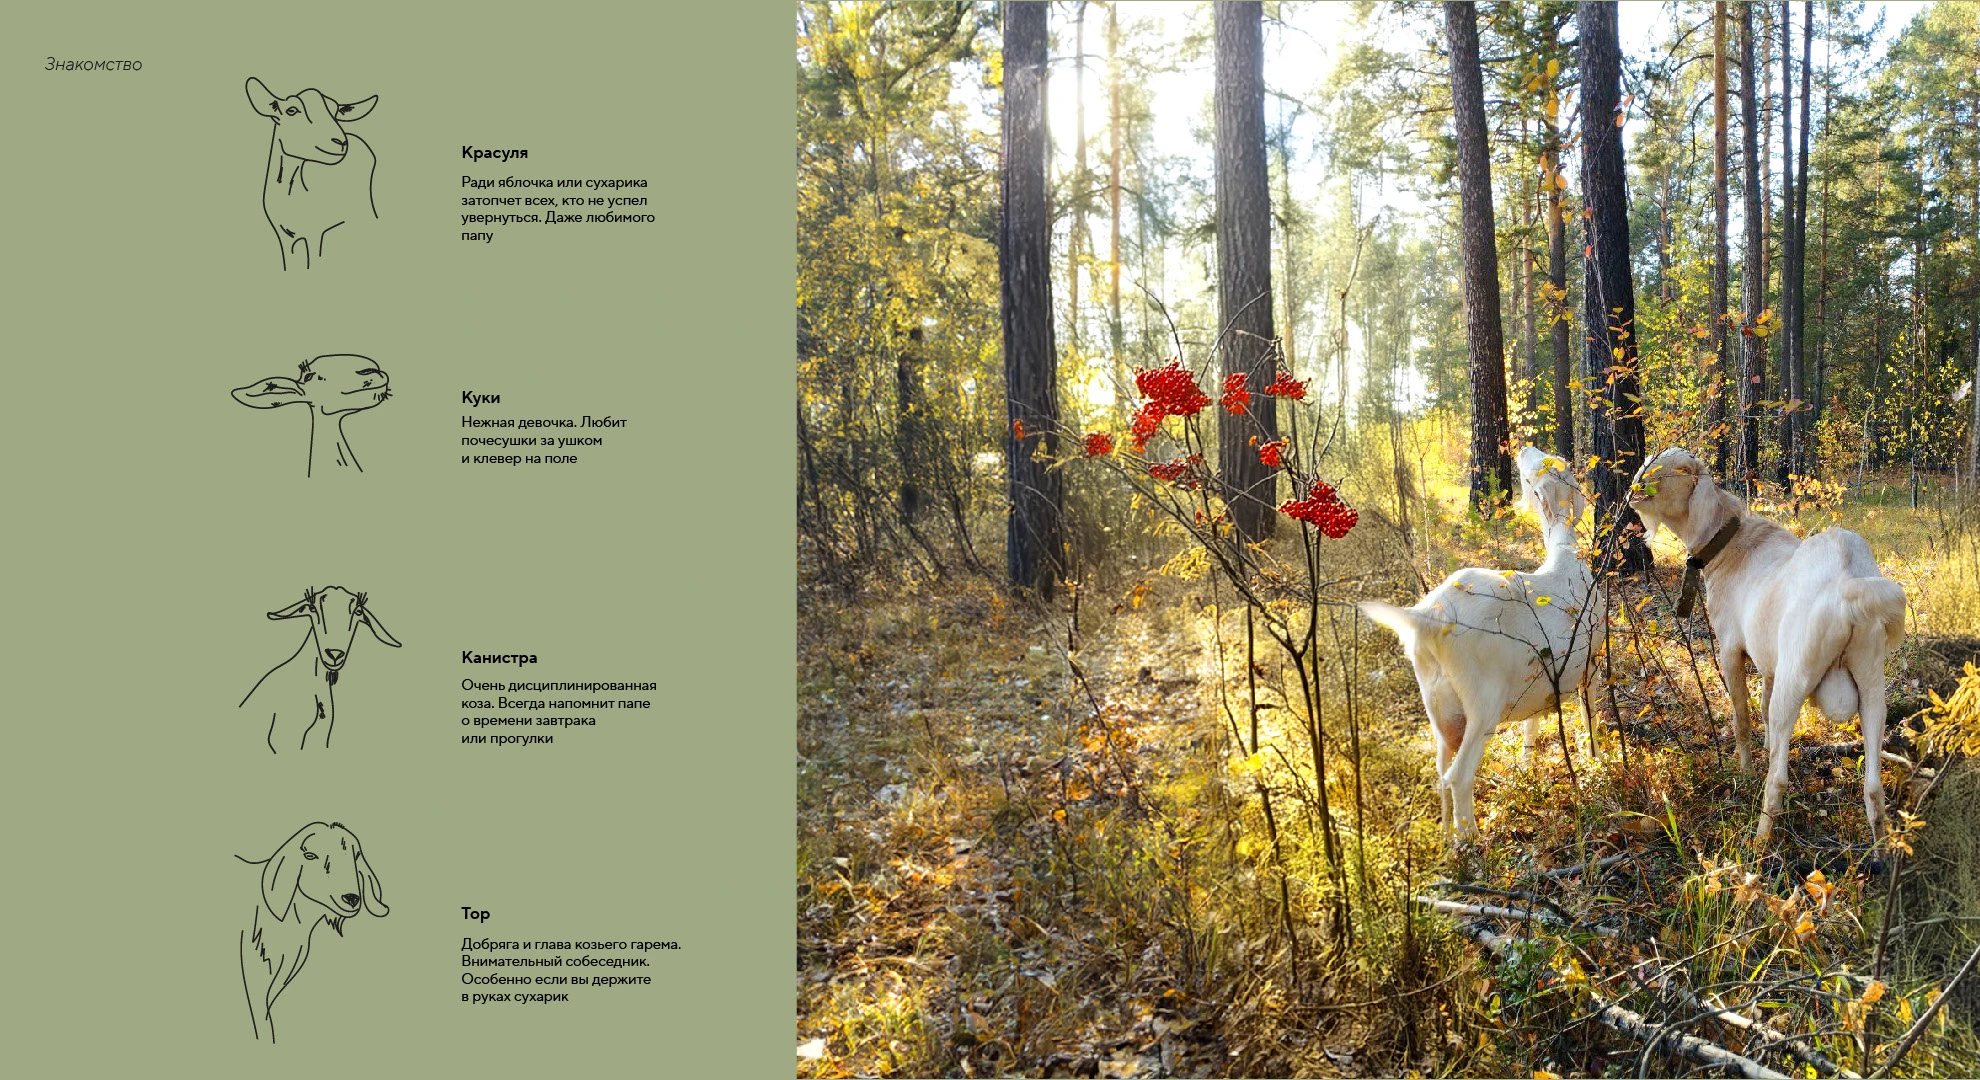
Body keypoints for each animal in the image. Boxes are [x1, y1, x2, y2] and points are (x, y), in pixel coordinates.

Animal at [1360, 448, 1606, 845]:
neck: (1566, 558)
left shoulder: (1538, 682)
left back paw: (1447, 840)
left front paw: (1527, 770)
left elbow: (1531, 728)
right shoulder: (1592, 665)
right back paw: (1472, 841)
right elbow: (1591, 718)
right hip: (1483, 704)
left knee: (1440, 771)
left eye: (1543, 463)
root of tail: (1428, 618)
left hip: (1441, 709)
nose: (1524, 449)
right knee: (1459, 775)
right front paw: (1598, 761)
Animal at [1627, 447, 1908, 840]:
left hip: (1796, 675)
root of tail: (1848, 587)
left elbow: (1742, 717)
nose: (1632, 492)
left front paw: (1744, 769)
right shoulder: (1768, 663)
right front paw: (1767, 746)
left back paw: (1759, 844)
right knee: (1873, 788)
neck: (1731, 547)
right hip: (1871, 681)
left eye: (1675, 470)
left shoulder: (1730, 649)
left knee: (1778, 780)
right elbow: (1761, 711)